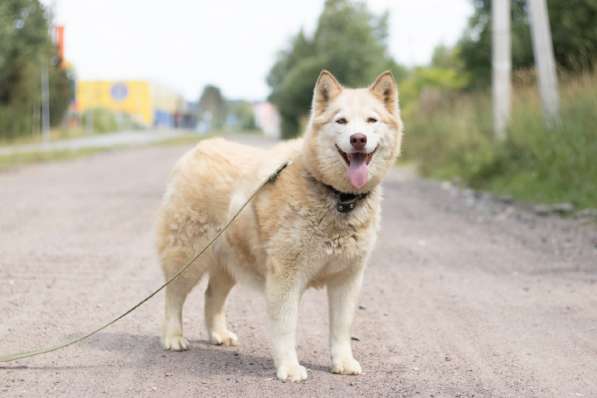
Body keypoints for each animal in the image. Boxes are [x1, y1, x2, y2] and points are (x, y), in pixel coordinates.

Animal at [156, 70, 402, 382]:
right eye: (341, 121)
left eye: (372, 120)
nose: (358, 139)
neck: (336, 196)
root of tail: (200, 148)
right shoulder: (286, 278)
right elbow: (286, 328)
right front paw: (289, 367)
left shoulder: (347, 280)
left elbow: (341, 329)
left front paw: (343, 362)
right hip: (187, 259)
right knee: (173, 298)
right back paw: (173, 337)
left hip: (230, 263)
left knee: (212, 296)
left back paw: (219, 334)